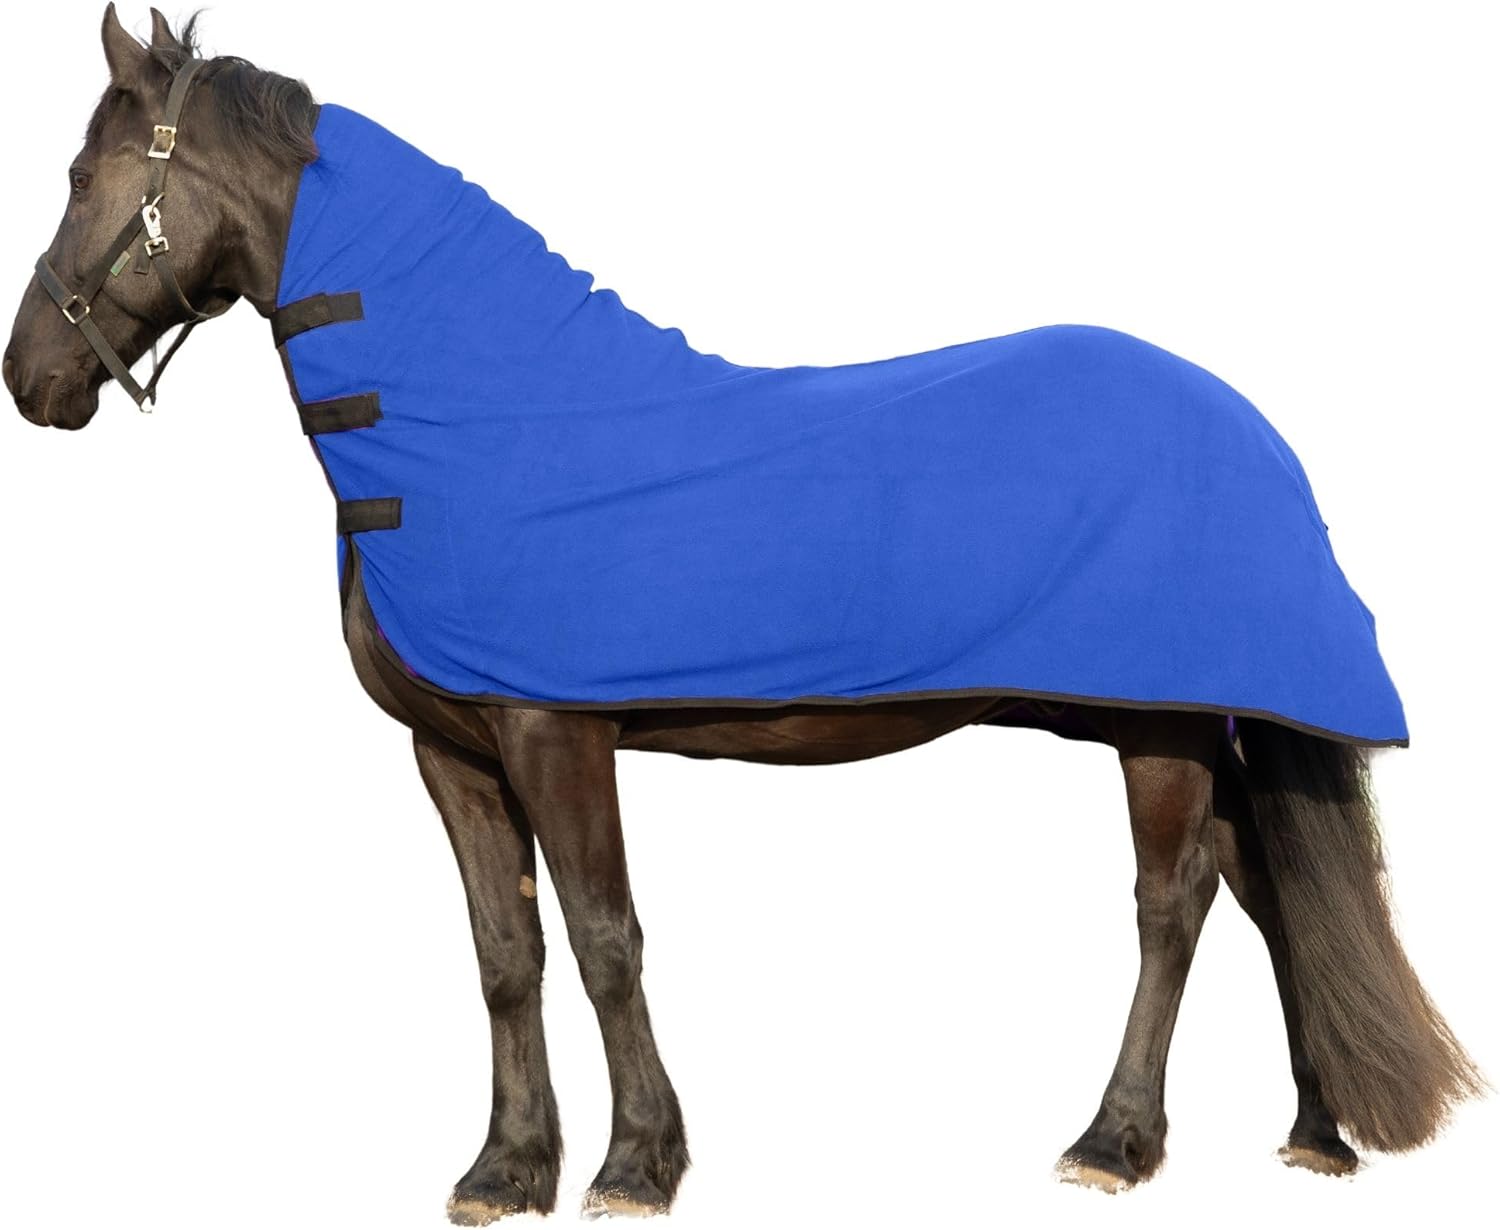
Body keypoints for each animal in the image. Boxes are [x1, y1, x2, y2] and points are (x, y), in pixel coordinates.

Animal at [4, 8, 1481, 1222]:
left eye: (82, 179)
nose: (32, 378)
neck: (481, 414)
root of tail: (1255, 432)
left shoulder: (555, 732)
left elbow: (604, 939)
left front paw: (634, 1165)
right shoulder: (454, 750)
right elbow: (506, 954)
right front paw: (503, 1171)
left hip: (1157, 726)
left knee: (1174, 904)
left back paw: (1113, 1143)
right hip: (1169, 720)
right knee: (1268, 888)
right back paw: (1315, 1134)